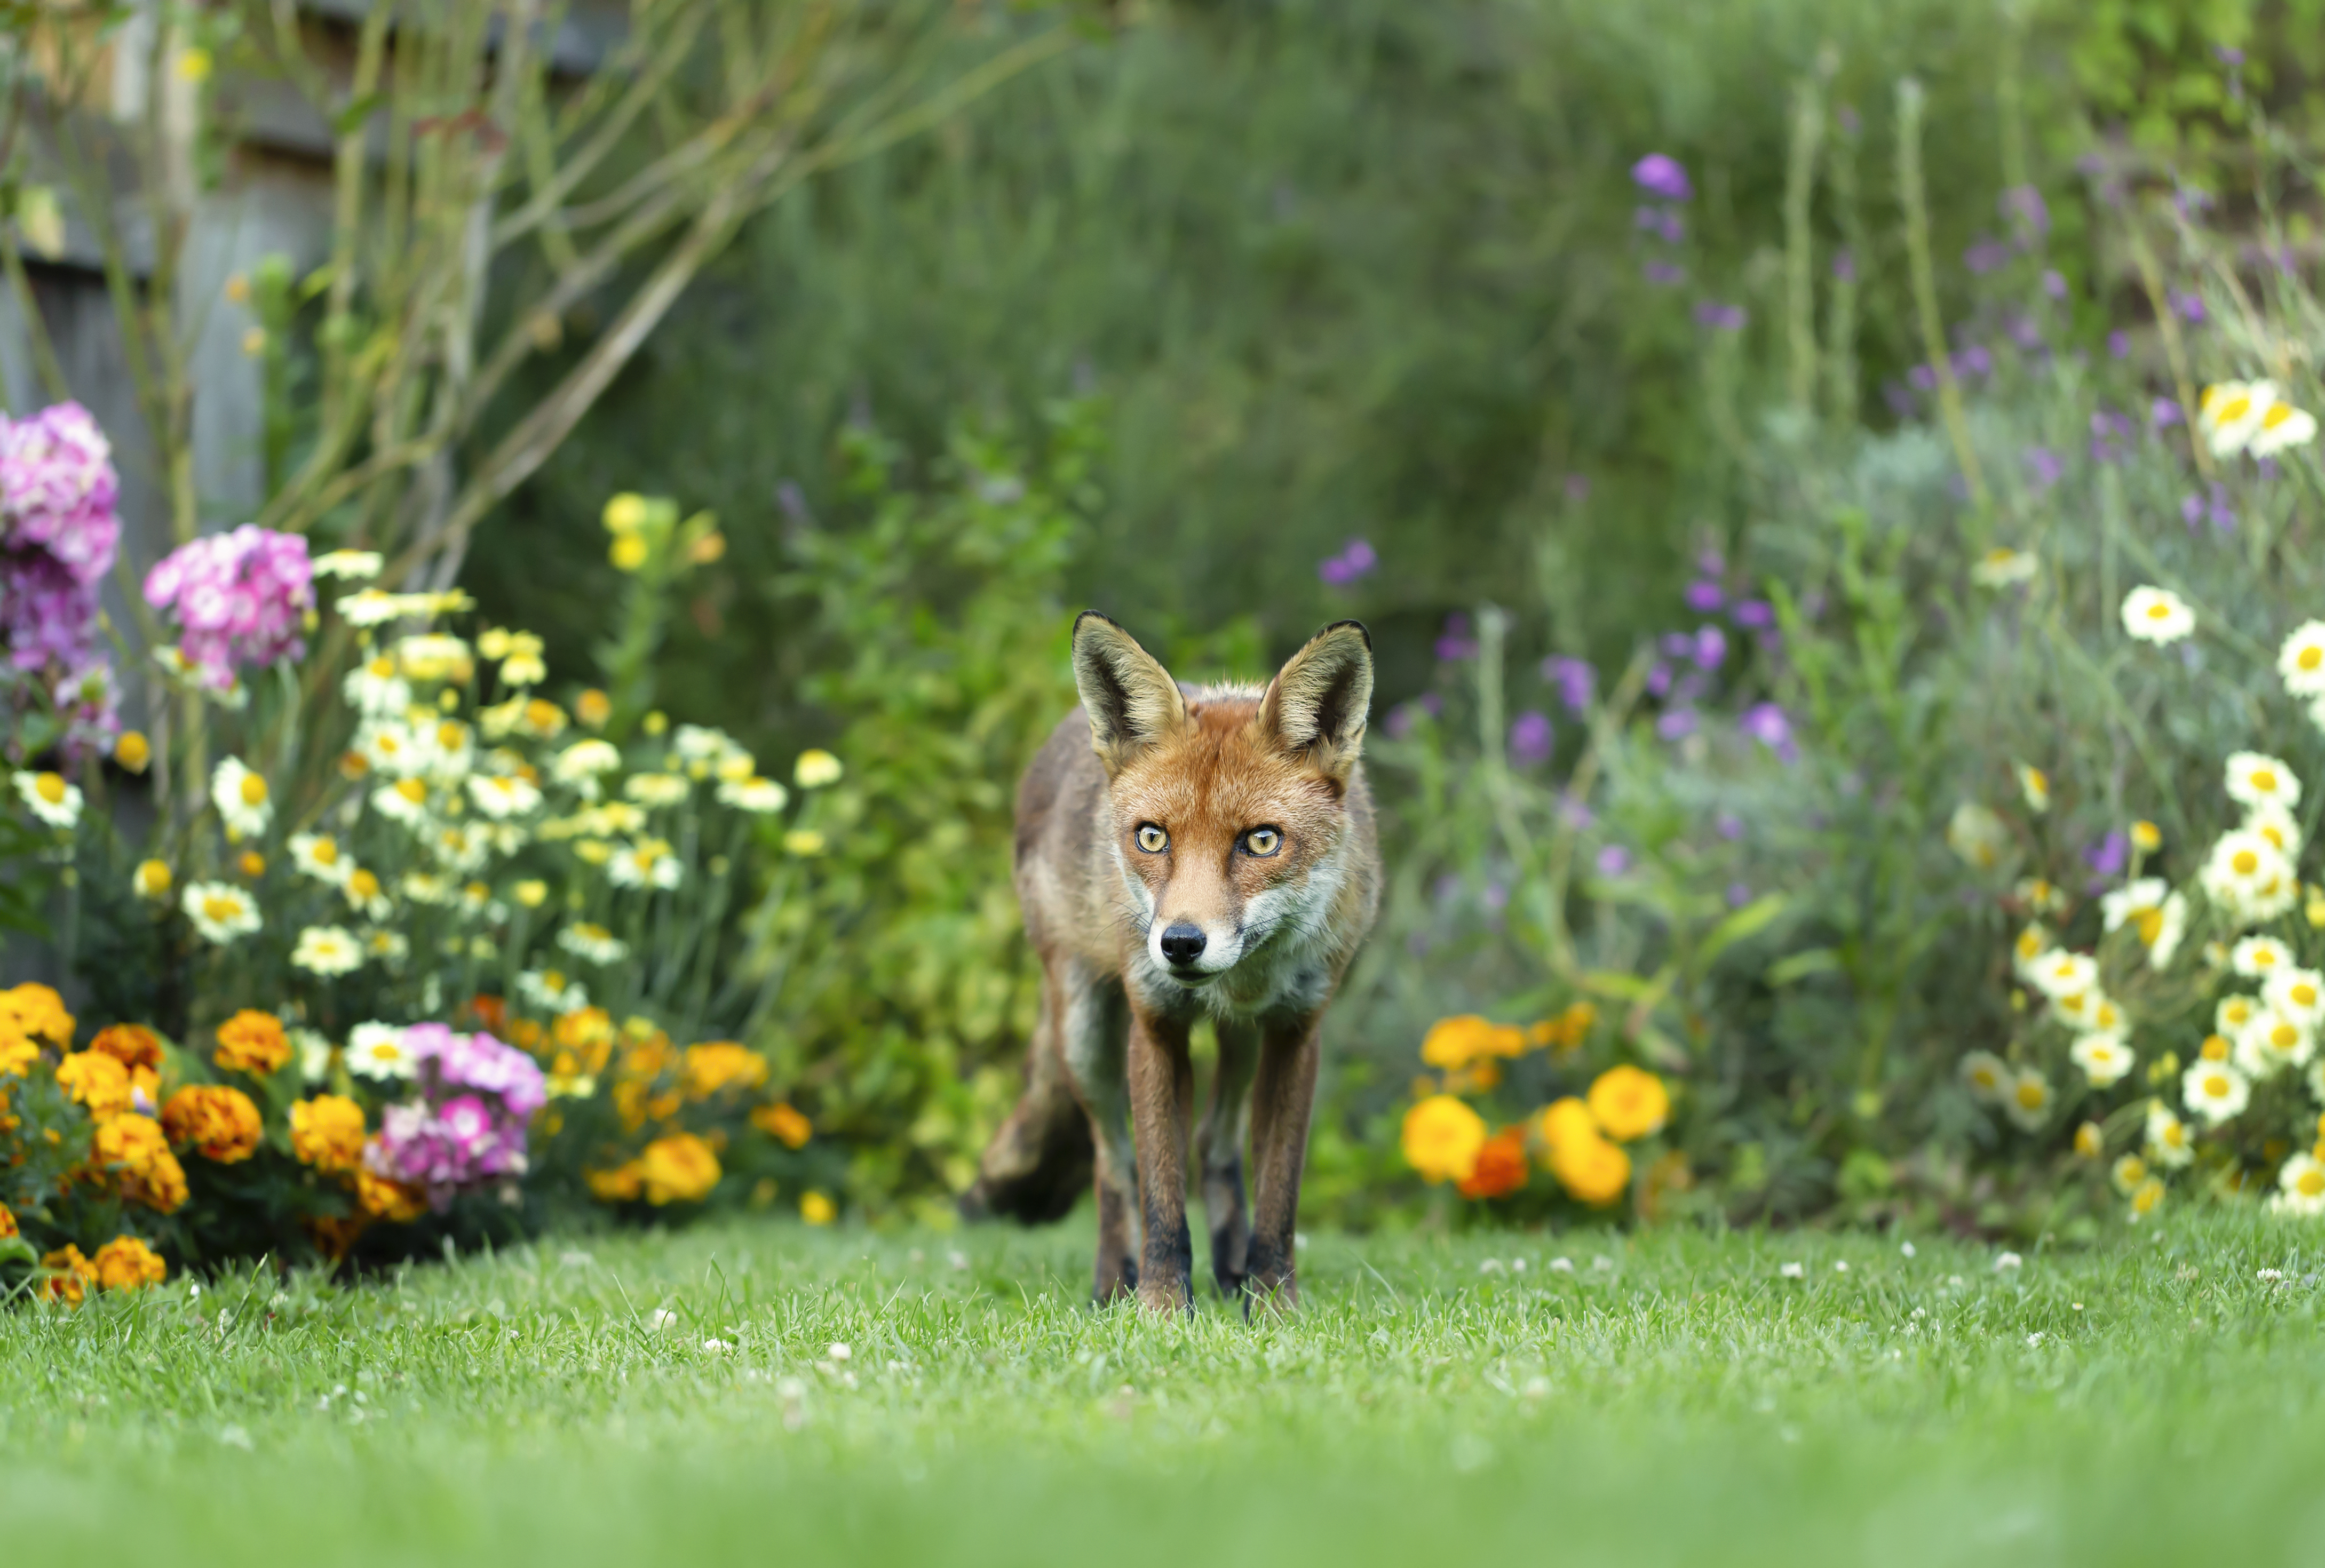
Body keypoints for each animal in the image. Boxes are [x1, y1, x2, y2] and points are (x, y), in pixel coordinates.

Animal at [962, 608, 1376, 1310]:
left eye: (1261, 841)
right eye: (1152, 837)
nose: (1180, 942)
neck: (1238, 982)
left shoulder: (1296, 1030)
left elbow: (1278, 1194)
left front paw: (1273, 1304)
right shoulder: (1154, 1022)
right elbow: (1159, 1193)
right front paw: (1160, 1307)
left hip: (1240, 1043)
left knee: (1215, 1142)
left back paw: (1231, 1272)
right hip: (1084, 1032)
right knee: (1113, 1162)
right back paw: (1112, 1284)